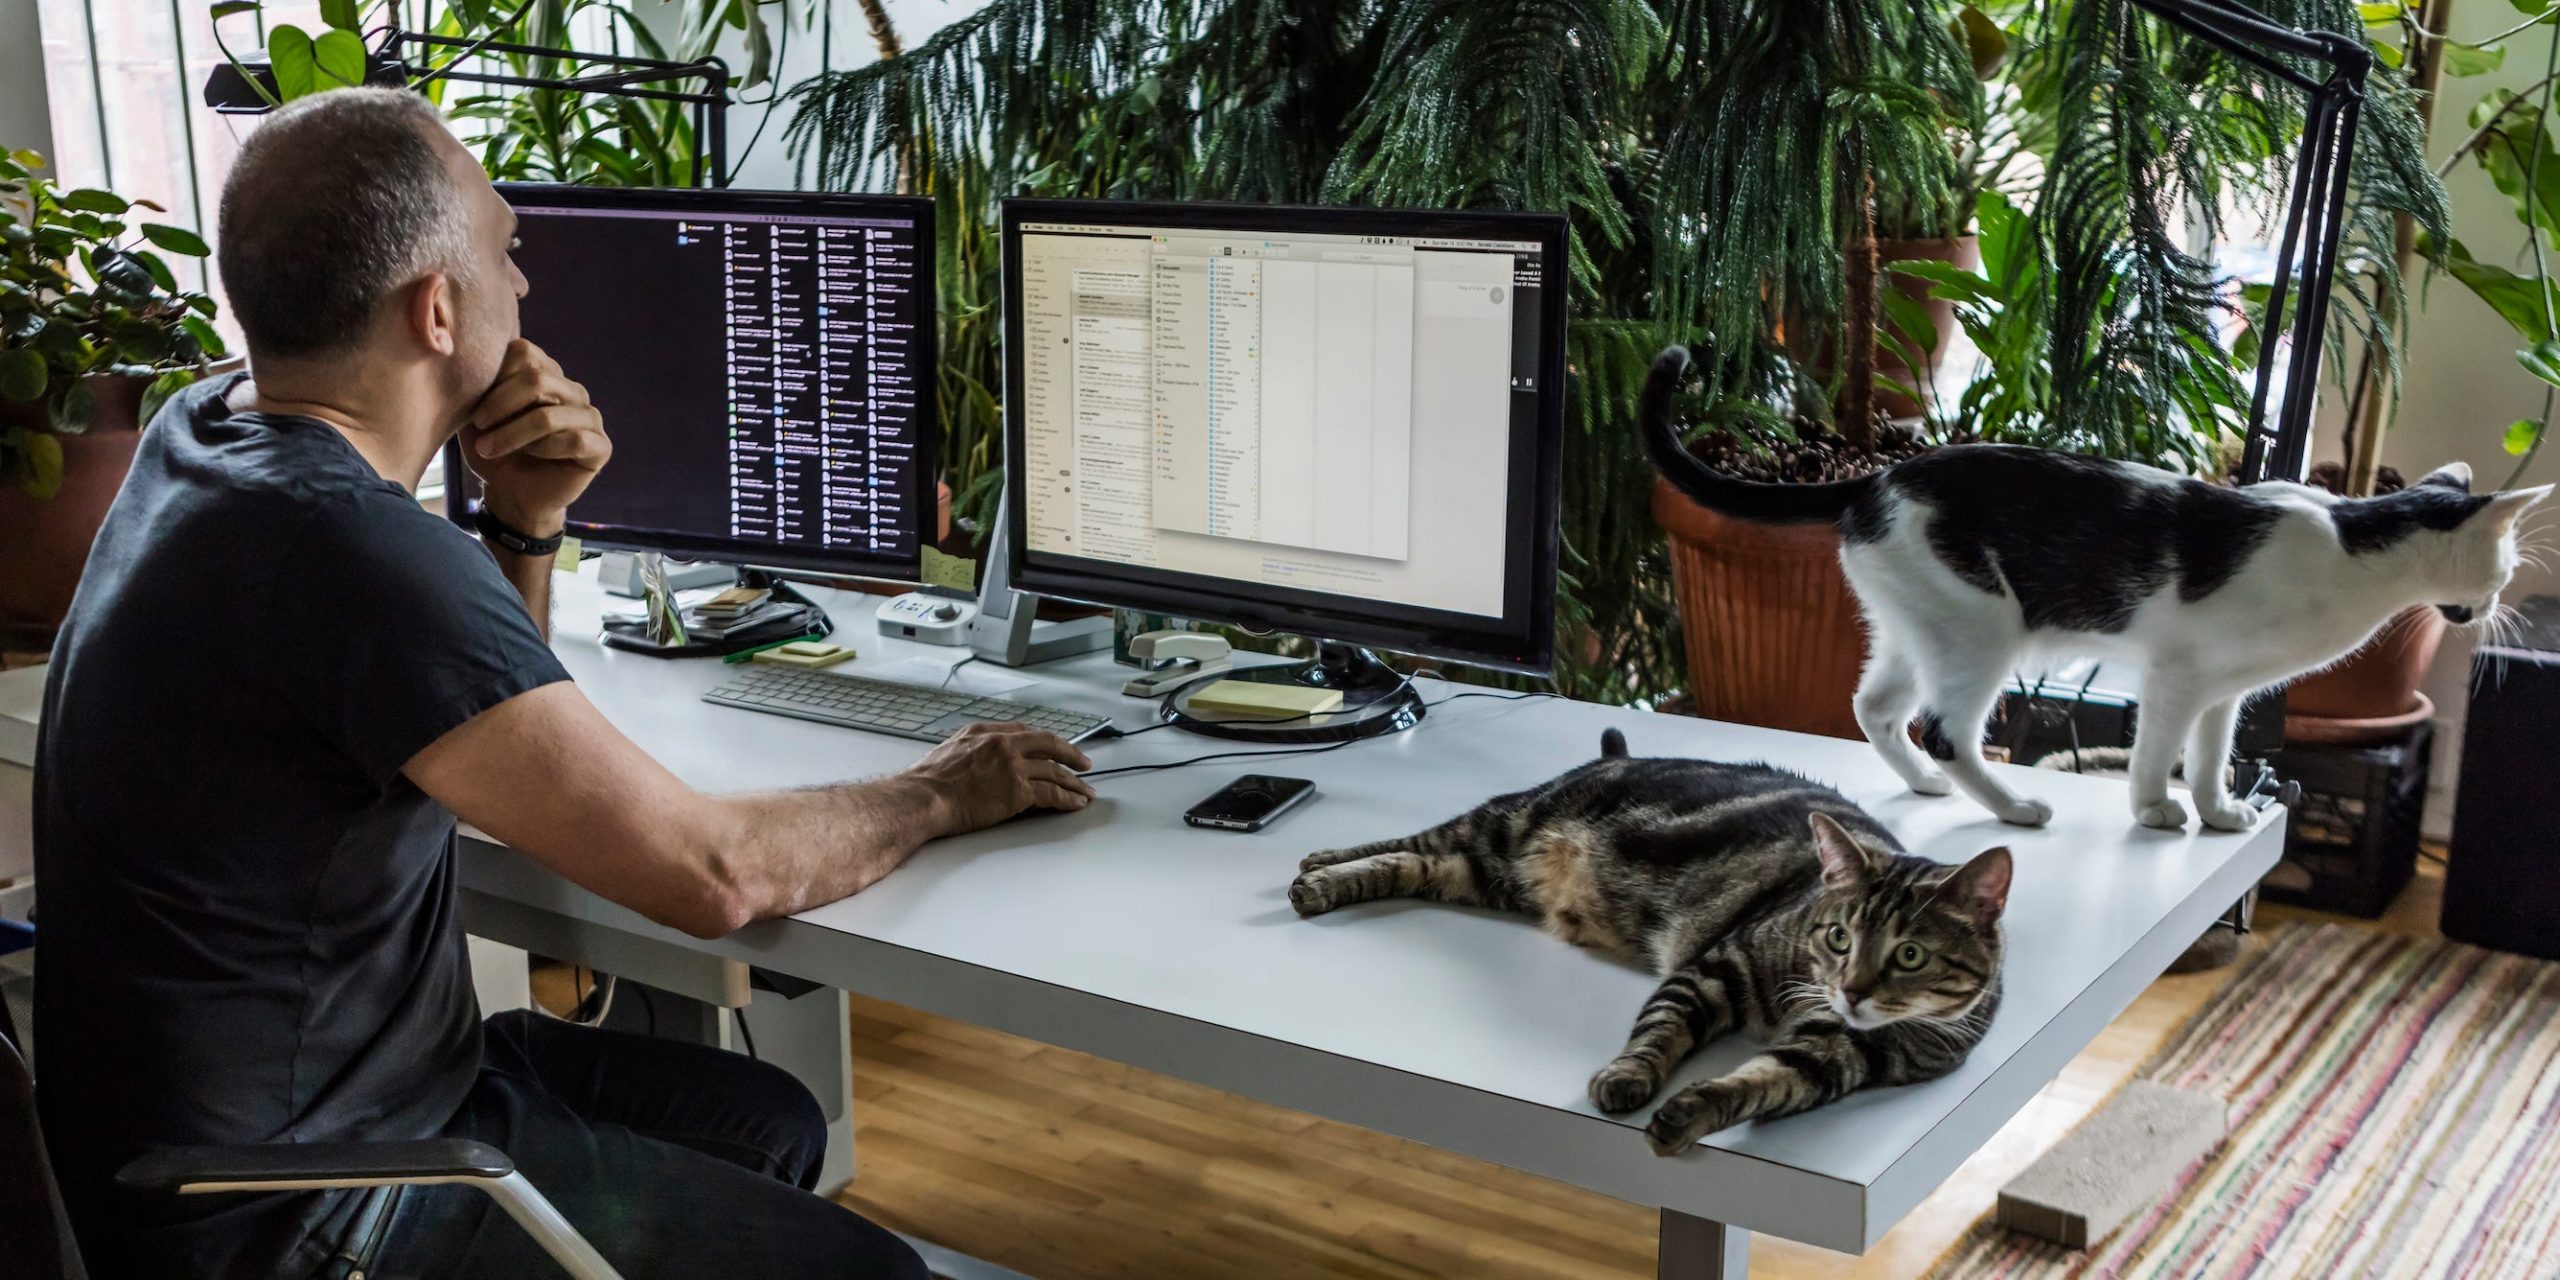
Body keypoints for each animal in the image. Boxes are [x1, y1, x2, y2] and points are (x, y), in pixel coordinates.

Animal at [1290, 732, 2007, 1162]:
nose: (1853, 990)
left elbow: (1758, 1083)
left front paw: (1688, 1112)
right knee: (1413, 841)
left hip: (1487, 876)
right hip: (1504, 827)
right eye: (1839, 937)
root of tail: (1619, 751)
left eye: (1909, 955)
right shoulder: (1716, 967)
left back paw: (1325, 877)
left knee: (1415, 863)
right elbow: (1660, 1030)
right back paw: (1317, 870)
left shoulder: (1832, 1058)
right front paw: (1627, 1078)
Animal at [1648, 345, 2549, 834]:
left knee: (1875, 708)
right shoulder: (2176, 674)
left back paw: (1926, 785)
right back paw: (2012, 807)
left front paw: (2219, 813)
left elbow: (2213, 757)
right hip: (1982, 634)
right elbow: (2157, 752)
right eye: (2504, 572)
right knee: (1946, 729)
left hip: (1917, 627)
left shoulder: (2225, 691)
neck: (2350, 546)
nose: (2496, 608)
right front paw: (2153, 811)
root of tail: (1877, 475)